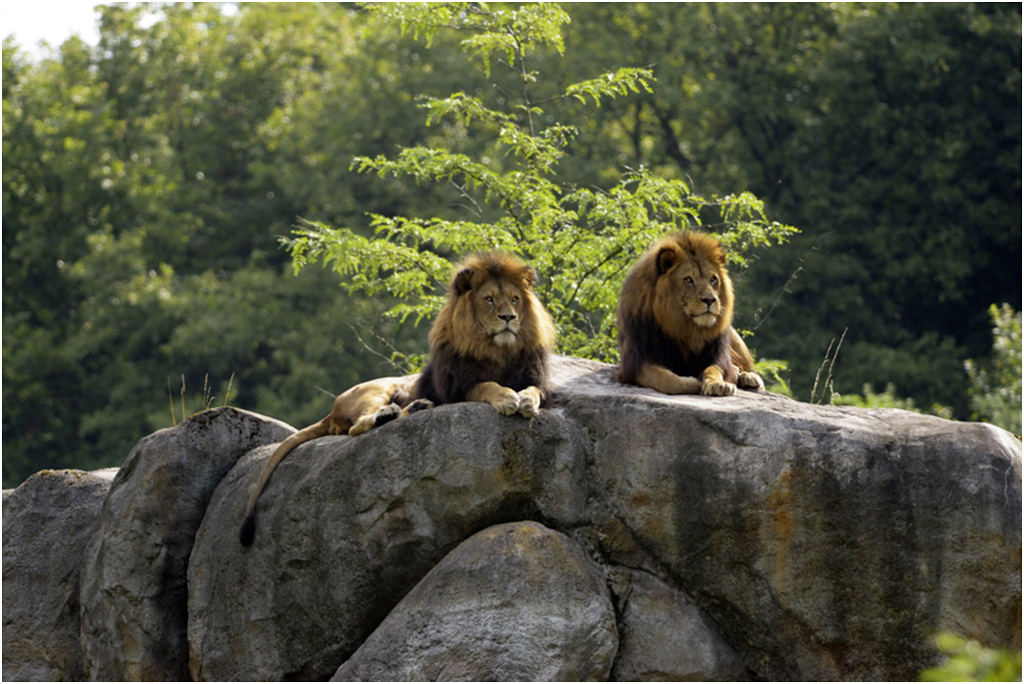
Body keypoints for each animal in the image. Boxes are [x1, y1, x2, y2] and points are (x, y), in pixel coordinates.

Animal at [238, 250, 557, 544]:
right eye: (489, 299)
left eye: (514, 299)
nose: (509, 318)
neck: (498, 350)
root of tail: (332, 410)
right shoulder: (458, 386)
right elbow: (487, 385)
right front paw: (506, 398)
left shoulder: (535, 378)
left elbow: (533, 391)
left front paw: (526, 401)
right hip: (377, 390)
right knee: (356, 427)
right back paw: (391, 413)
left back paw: (415, 407)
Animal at [610, 232, 765, 397]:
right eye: (689, 280)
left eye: (713, 279)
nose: (710, 300)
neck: (685, 327)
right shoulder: (635, 364)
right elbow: (666, 379)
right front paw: (694, 382)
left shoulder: (718, 355)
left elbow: (713, 369)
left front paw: (717, 384)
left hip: (734, 336)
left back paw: (748, 377)